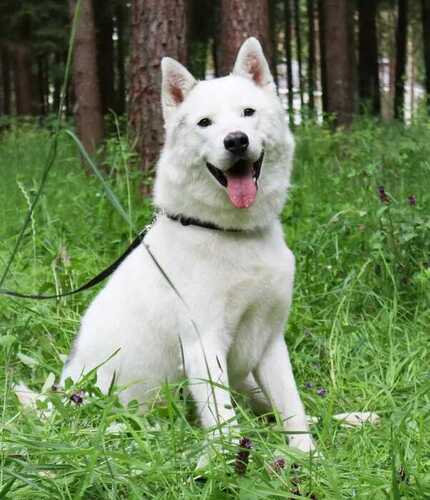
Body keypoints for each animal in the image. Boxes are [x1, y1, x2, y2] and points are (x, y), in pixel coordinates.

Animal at [23, 38, 316, 455]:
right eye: (205, 123)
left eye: (248, 113)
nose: (236, 140)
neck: (228, 233)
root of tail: (61, 399)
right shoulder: (203, 347)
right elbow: (224, 424)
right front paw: (230, 465)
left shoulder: (270, 342)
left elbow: (294, 410)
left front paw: (308, 458)